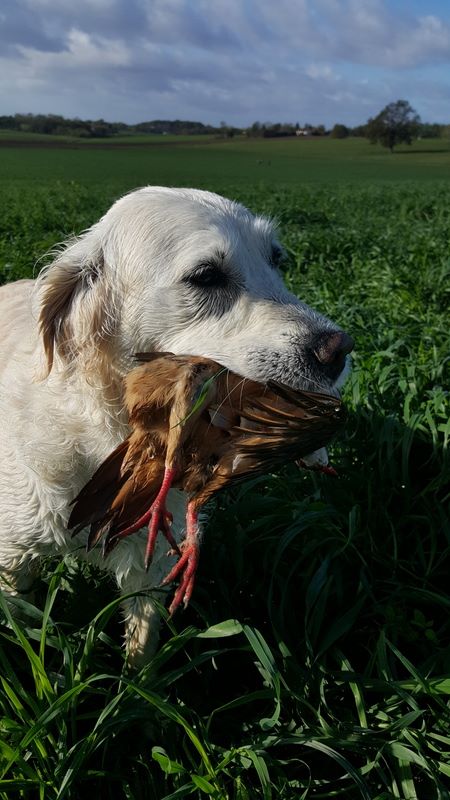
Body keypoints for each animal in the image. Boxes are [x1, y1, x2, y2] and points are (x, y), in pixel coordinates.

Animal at [0, 188, 354, 664]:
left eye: (276, 259)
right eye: (206, 276)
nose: (339, 350)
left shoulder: (152, 567)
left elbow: (142, 642)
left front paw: (137, 680)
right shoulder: (13, 559)